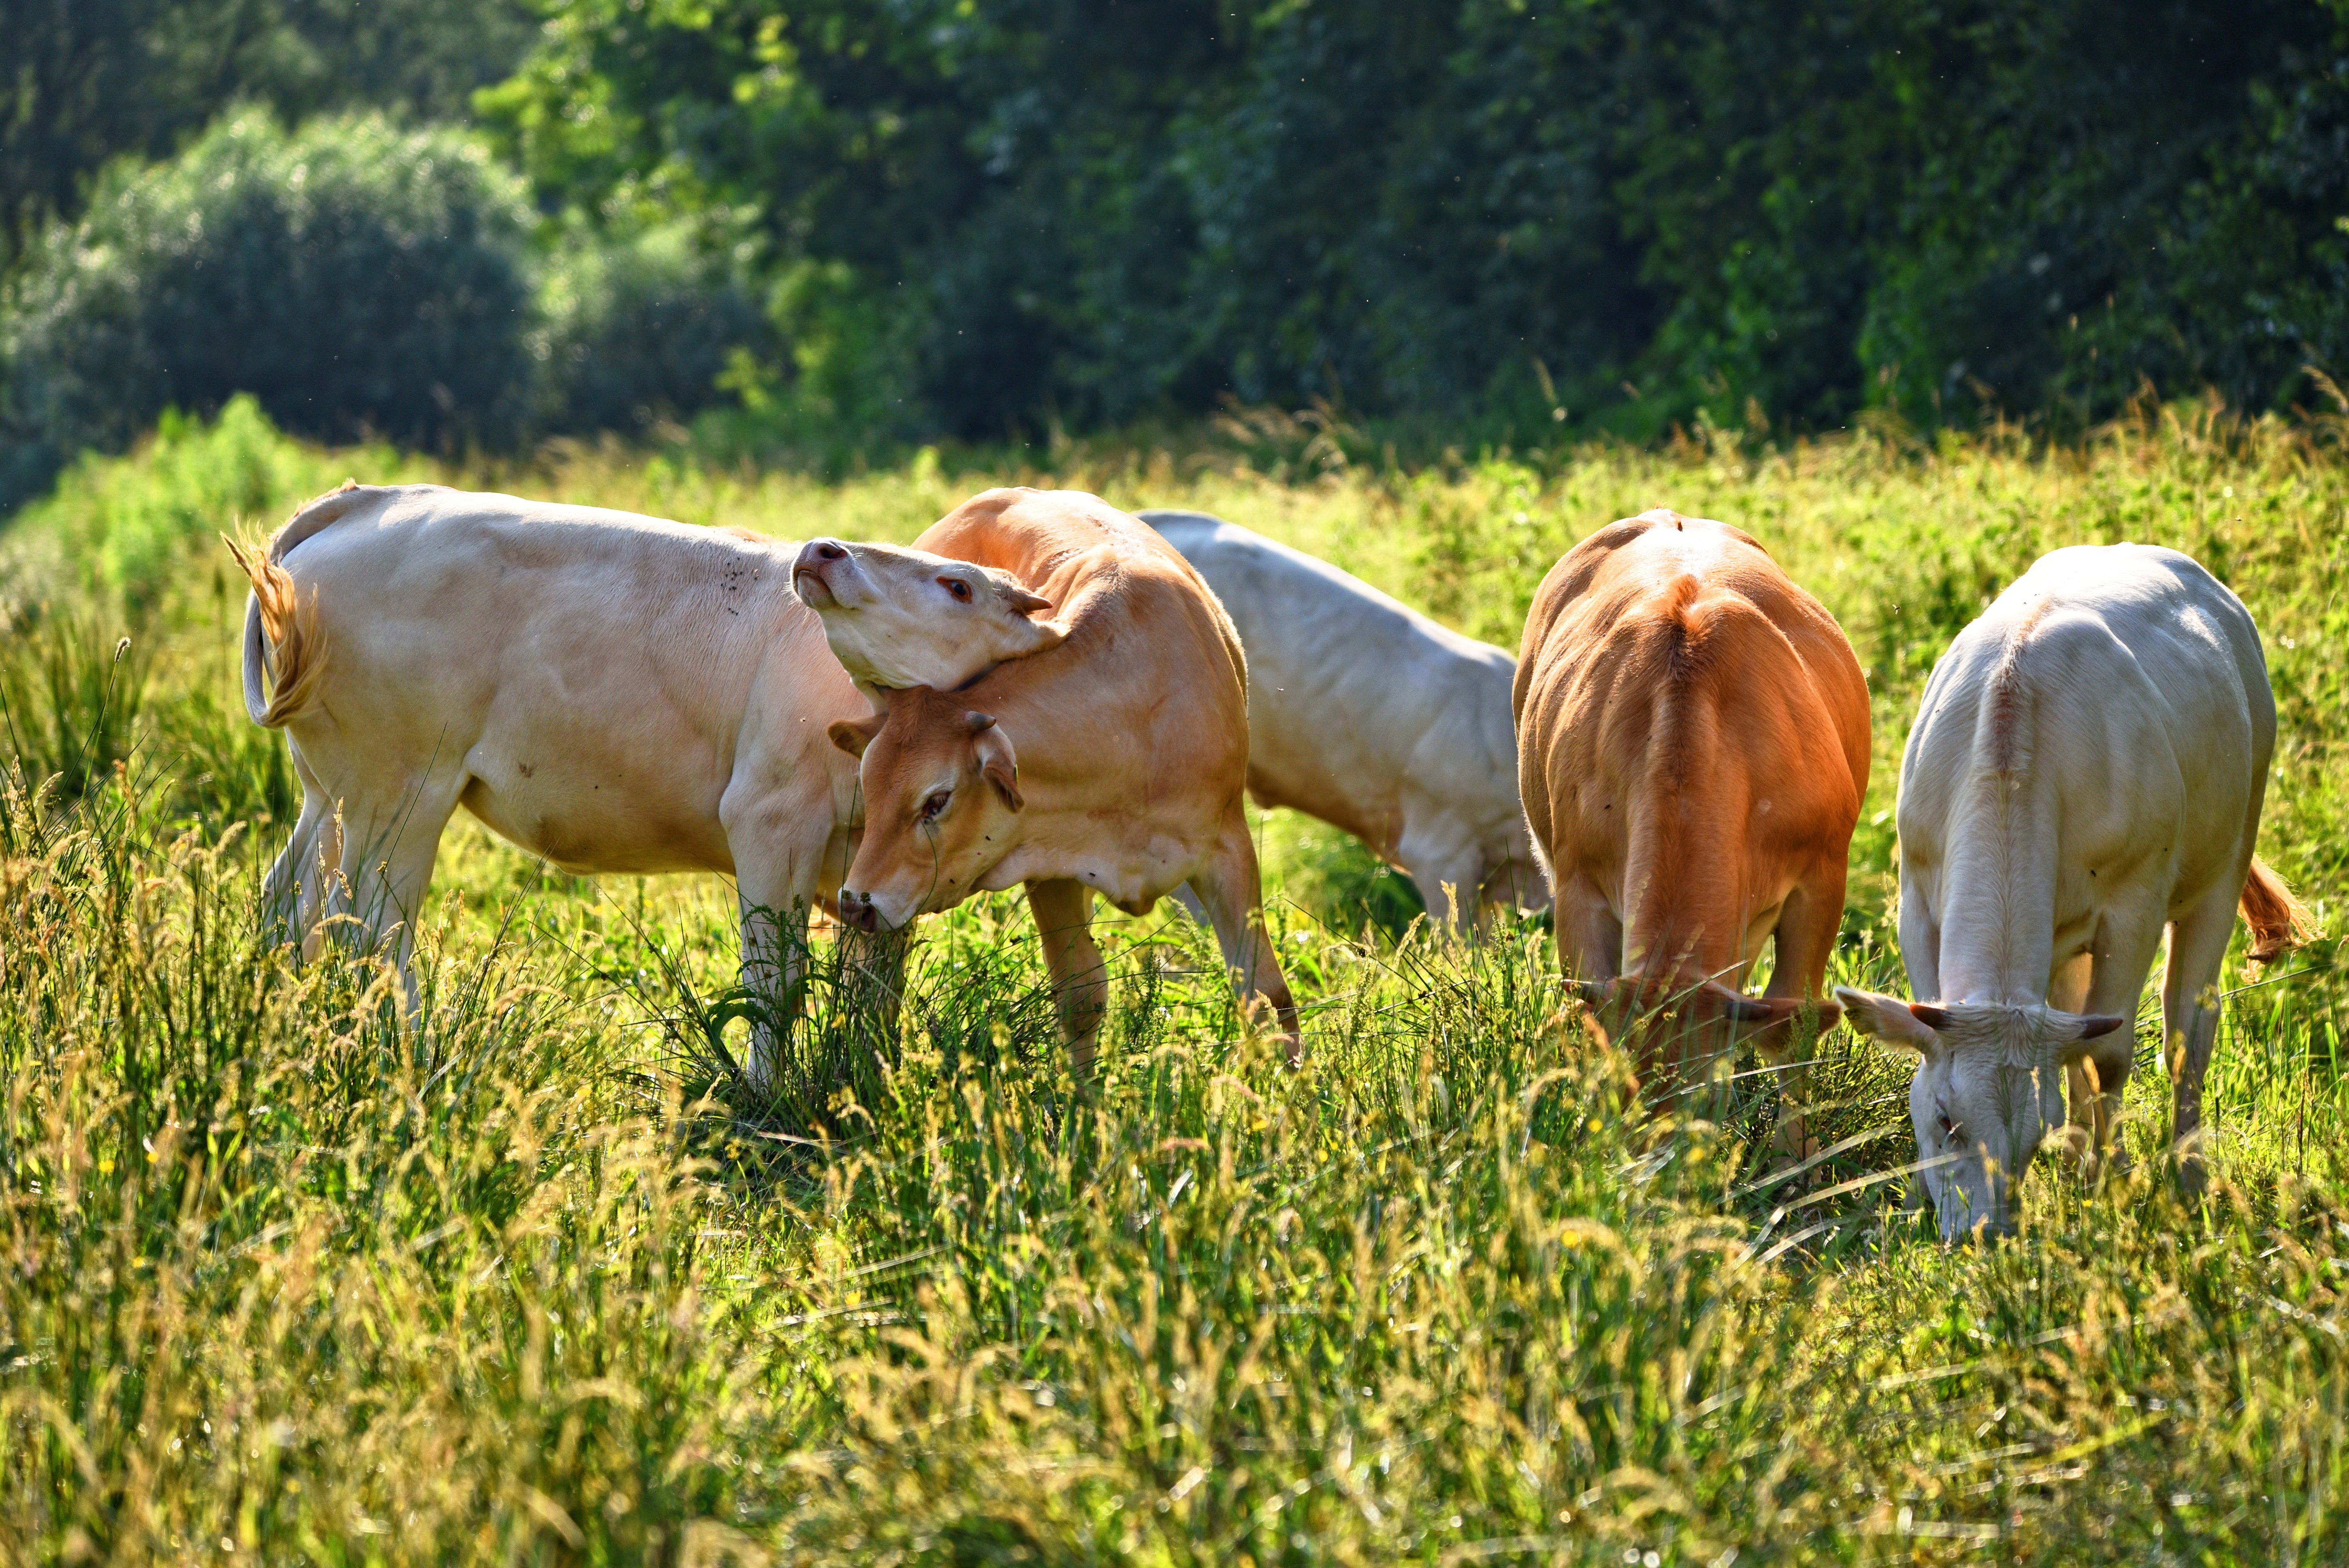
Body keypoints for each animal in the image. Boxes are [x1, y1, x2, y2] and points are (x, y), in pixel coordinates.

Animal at [229, 482, 882, 1087]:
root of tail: (373, 499)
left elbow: (869, 991)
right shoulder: (772, 820)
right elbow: (776, 982)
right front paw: (767, 1095)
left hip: (332, 796)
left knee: (292, 906)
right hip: (397, 794)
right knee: (368, 931)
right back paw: (408, 1059)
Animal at [822, 487, 1300, 1071]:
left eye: (937, 800)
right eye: (869, 787)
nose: (855, 903)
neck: (1129, 722)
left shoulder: (1228, 848)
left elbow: (1266, 996)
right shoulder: (1050, 869)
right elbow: (1081, 998)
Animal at [1514, 509, 1870, 1130]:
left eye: (1707, 1095)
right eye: (1620, 1092)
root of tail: (1669, 517)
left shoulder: (1823, 881)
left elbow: (1794, 1030)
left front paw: (1795, 1150)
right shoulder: (1578, 887)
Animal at [1835, 543, 2309, 1240]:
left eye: (2032, 1137)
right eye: (1947, 1121)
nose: (1988, 1236)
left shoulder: (2136, 906)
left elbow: (2108, 1055)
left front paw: (2111, 1182)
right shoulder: (1918, 898)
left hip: (2230, 851)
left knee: (2188, 1030)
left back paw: (2186, 1176)